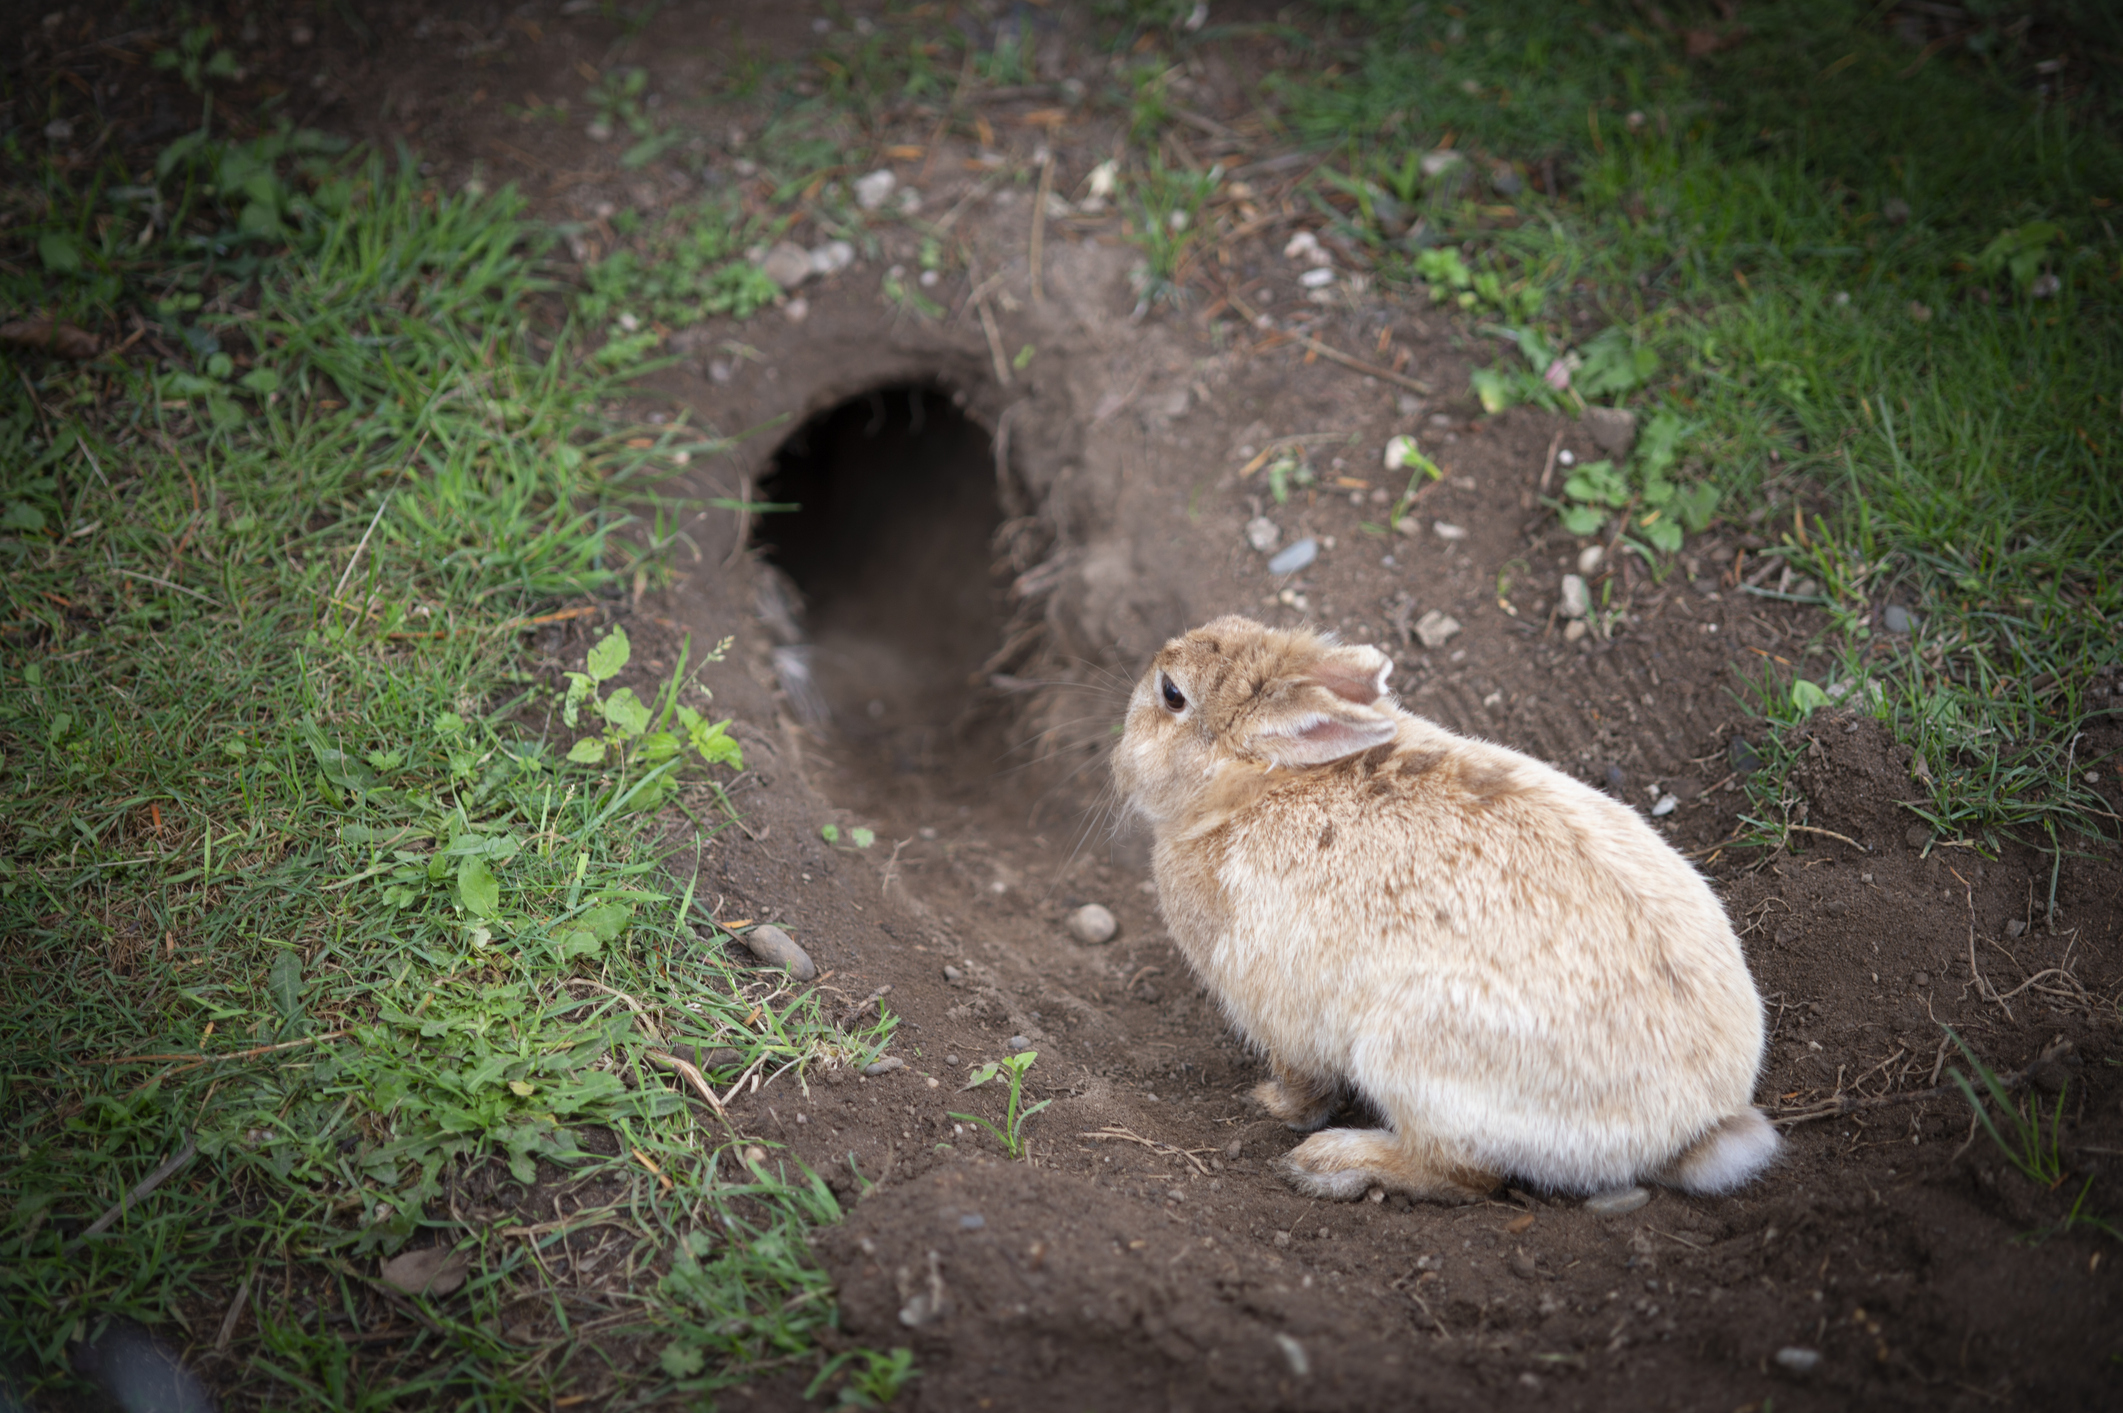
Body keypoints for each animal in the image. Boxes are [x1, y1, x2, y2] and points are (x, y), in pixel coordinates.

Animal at [1112, 616, 1776, 1203]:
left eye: (1172, 695)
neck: (1253, 788)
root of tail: (1694, 1128)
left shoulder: (1280, 1012)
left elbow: (1306, 1084)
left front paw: (1270, 1104)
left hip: (1407, 1060)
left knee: (1464, 1175)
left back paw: (1329, 1163)